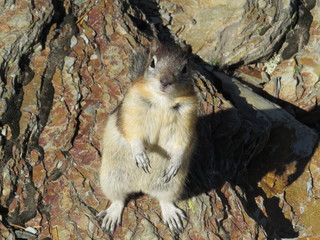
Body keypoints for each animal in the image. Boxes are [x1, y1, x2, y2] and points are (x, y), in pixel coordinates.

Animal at [97, 39, 199, 232]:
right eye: (152, 62)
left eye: (185, 68)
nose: (165, 81)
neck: (163, 99)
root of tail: (141, 186)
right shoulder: (132, 109)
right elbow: (133, 133)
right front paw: (141, 156)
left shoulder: (186, 119)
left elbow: (181, 143)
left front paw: (175, 163)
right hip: (112, 179)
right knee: (118, 200)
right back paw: (111, 217)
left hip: (171, 185)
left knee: (165, 200)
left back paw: (172, 216)